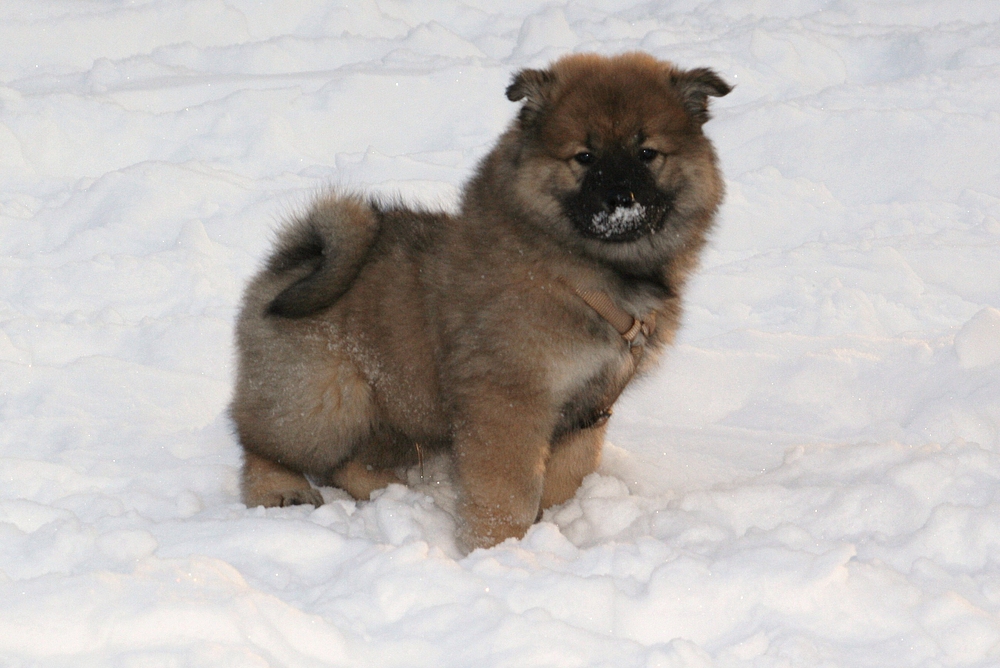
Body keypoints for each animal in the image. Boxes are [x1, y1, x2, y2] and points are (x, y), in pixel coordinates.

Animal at [230, 52, 732, 552]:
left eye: (647, 153)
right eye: (584, 158)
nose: (621, 199)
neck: (576, 270)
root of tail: (297, 257)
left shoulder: (589, 406)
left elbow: (566, 477)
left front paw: (555, 525)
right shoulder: (509, 397)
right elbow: (506, 490)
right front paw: (500, 548)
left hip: (405, 410)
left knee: (349, 461)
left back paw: (393, 492)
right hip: (327, 400)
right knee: (264, 443)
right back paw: (282, 489)